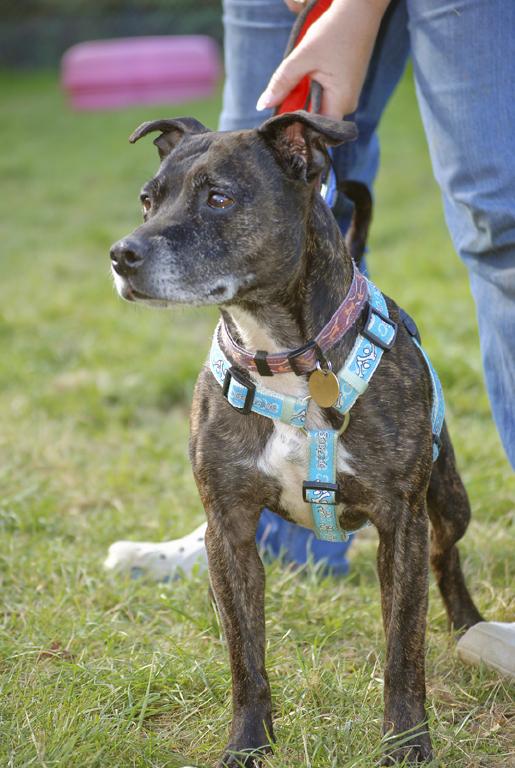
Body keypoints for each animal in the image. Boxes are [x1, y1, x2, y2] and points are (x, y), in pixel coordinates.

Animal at [109, 111, 484, 764]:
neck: (282, 355)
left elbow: (402, 651)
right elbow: (245, 657)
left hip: (446, 497)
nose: (121, 254)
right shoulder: (228, 529)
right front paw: (247, 743)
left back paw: (466, 622)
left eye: (219, 197)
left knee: (446, 551)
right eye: (148, 200)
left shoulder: (400, 524)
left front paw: (407, 743)